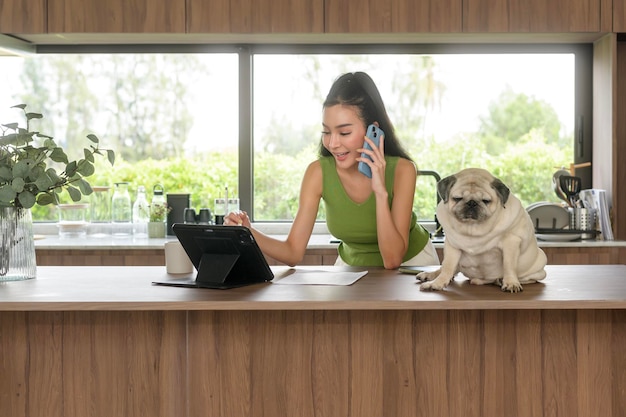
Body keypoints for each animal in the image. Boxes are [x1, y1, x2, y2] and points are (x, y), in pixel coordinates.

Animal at [416, 167, 544, 292]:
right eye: (457, 198)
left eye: (486, 201)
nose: (471, 203)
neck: (472, 228)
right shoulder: (453, 246)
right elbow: (447, 267)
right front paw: (437, 283)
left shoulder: (511, 242)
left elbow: (509, 265)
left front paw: (511, 283)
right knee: (446, 269)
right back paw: (430, 275)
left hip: (537, 270)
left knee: (527, 279)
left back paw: (498, 280)